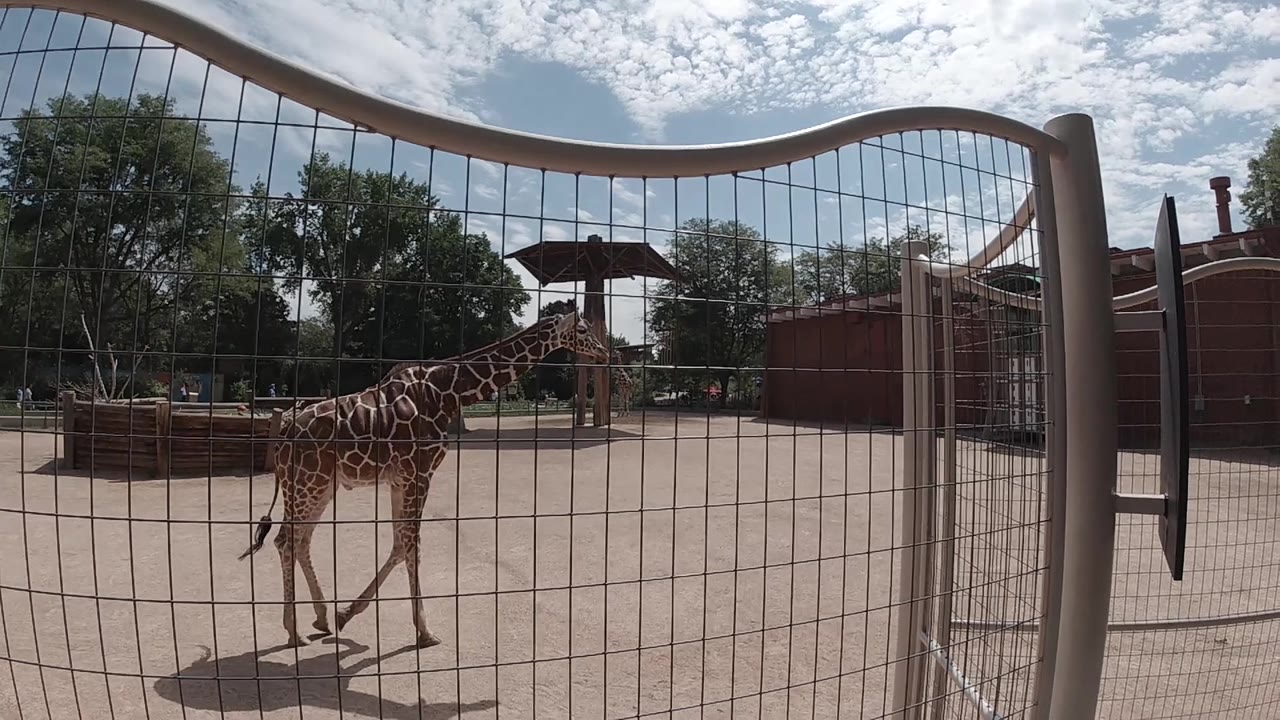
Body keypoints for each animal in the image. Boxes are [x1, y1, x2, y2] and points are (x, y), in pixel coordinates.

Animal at [238, 311, 612, 648]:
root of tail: (284, 432)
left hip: (319, 486)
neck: (449, 392)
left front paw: (347, 613)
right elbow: (412, 544)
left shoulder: (399, 478)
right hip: (307, 483)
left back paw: (322, 619)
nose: (605, 352)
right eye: (582, 329)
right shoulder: (420, 471)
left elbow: (399, 543)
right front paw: (425, 631)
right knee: (286, 541)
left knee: (301, 540)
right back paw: (295, 631)